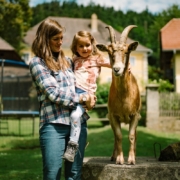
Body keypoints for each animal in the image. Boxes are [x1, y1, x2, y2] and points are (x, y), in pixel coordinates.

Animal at [97, 25, 141, 165]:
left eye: (126, 52)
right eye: (110, 53)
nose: (117, 69)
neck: (124, 97)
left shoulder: (135, 115)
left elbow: (131, 136)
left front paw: (131, 160)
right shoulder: (113, 116)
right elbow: (119, 136)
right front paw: (120, 159)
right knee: (116, 138)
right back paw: (113, 156)